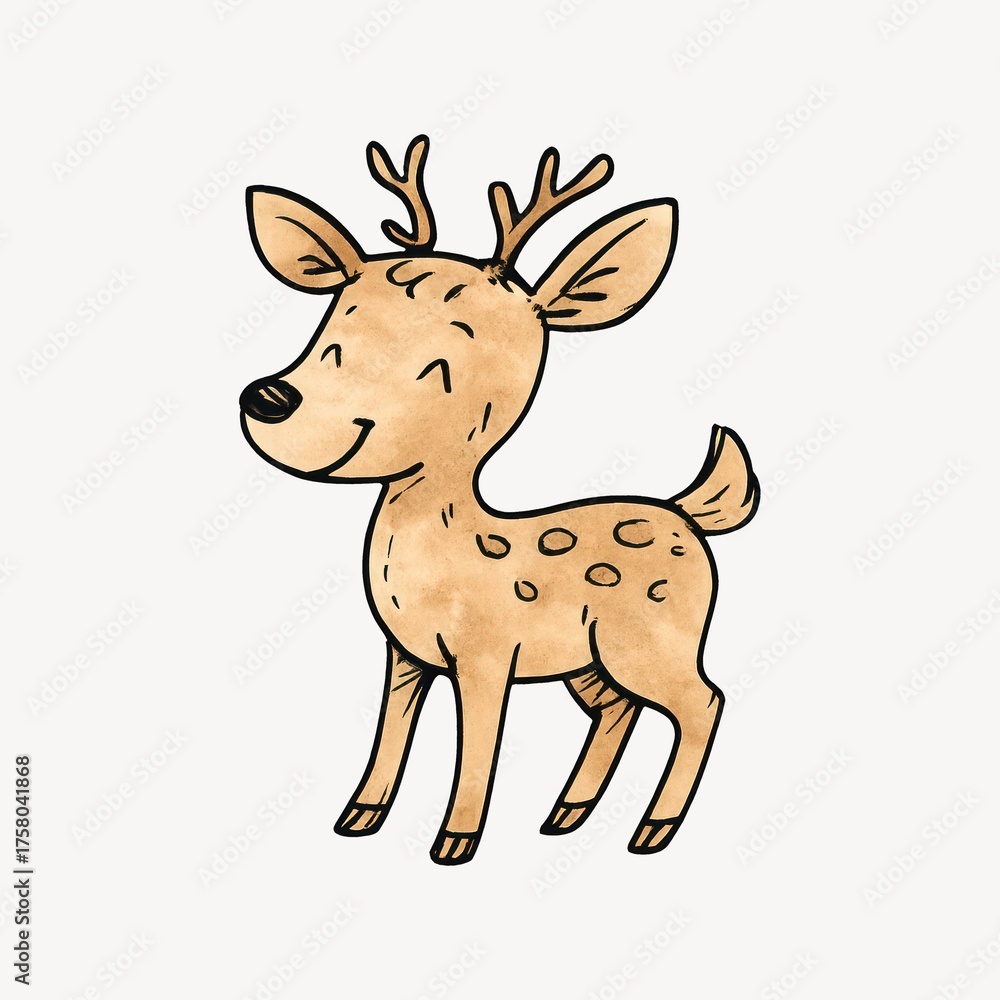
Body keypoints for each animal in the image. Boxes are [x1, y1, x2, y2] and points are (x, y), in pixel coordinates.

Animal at [238, 135, 759, 865]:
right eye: (332, 321)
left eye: (452, 348)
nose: (270, 398)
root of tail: (688, 513)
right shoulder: (406, 654)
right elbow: (390, 733)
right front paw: (359, 816)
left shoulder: (488, 654)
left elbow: (478, 743)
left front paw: (454, 841)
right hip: (589, 660)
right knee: (617, 708)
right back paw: (566, 813)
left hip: (654, 640)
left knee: (703, 701)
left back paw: (652, 829)